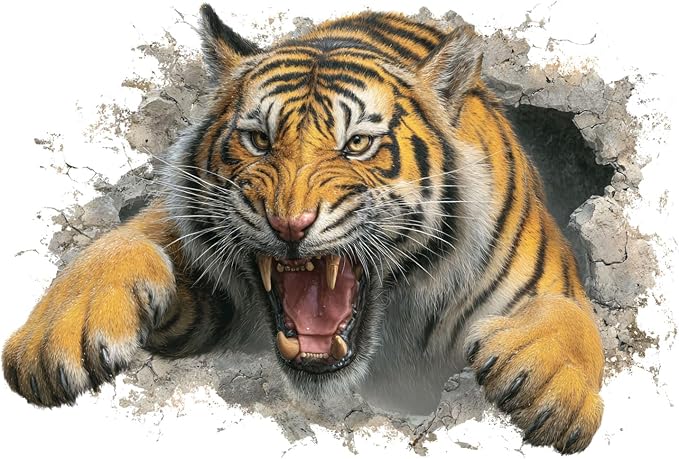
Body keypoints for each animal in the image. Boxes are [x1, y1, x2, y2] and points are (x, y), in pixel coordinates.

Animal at [2, 4, 604, 454]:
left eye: (356, 144)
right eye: (259, 141)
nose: (289, 223)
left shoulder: (547, 278)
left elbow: (570, 312)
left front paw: (553, 390)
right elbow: (122, 239)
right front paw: (55, 335)